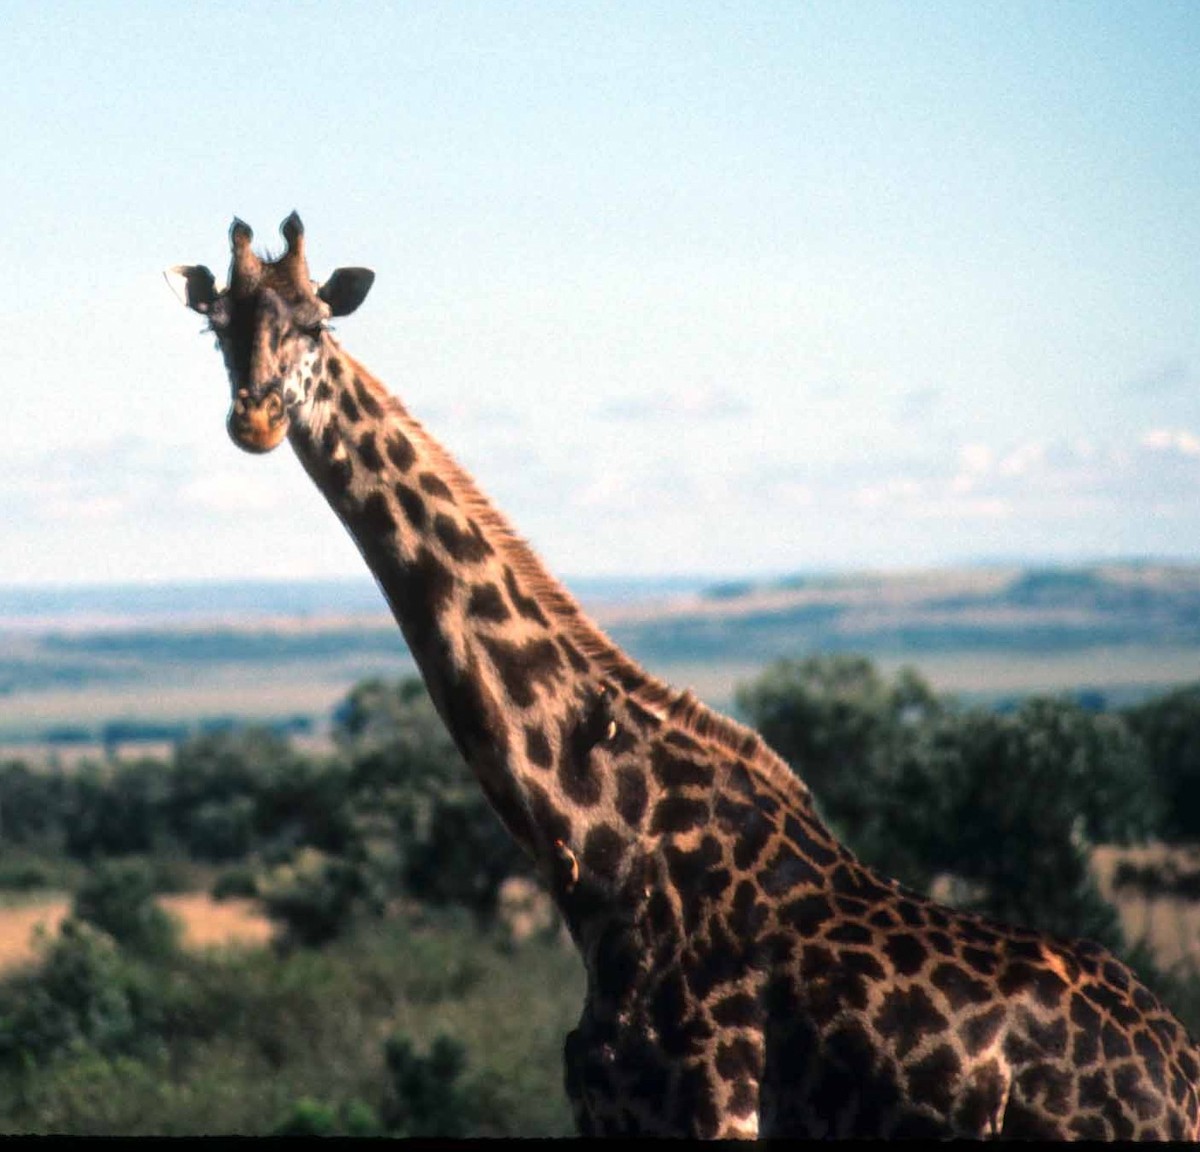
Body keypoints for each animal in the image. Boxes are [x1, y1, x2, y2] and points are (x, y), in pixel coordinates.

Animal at [166, 211, 1200, 1137]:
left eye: (317, 324)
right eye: (219, 326)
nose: (257, 416)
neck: (606, 851)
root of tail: (1179, 1073)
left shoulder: (712, 1111)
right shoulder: (610, 1115)